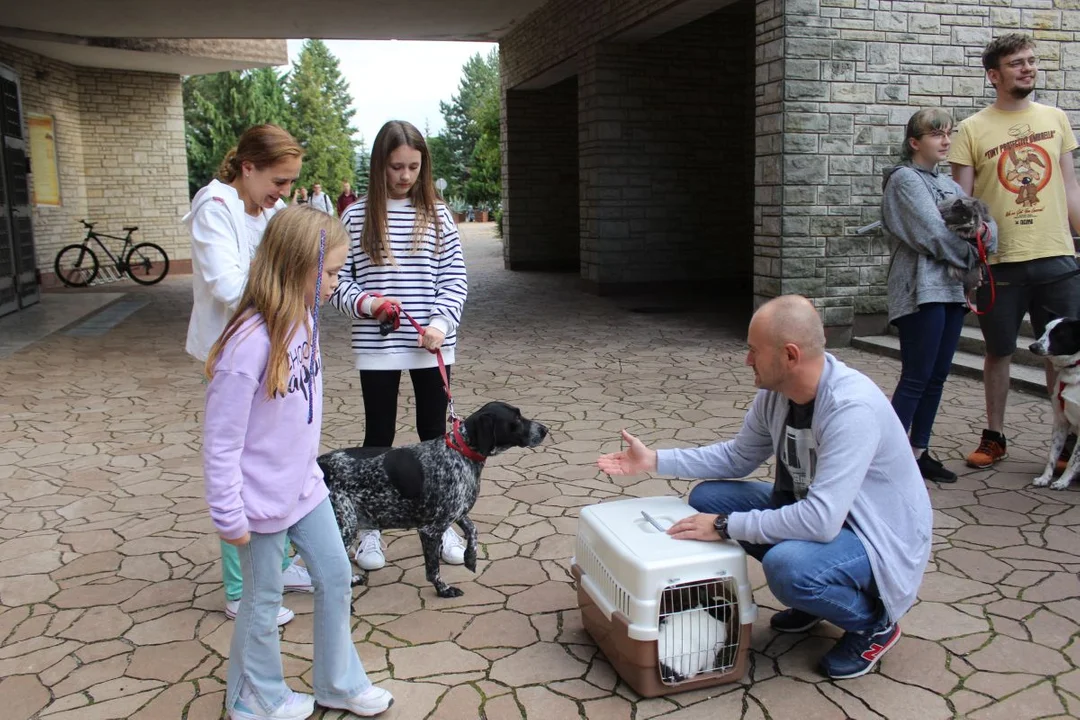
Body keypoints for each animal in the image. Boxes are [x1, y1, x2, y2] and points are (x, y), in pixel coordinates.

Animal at [315, 403, 548, 600]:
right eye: (516, 418)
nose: (545, 429)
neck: (461, 451)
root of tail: (319, 464)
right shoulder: (430, 530)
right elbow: (433, 570)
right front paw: (443, 589)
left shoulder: (457, 512)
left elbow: (473, 530)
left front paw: (470, 558)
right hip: (345, 525)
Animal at [1023, 319, 1080, 490]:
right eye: (1045, 330)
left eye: (1059, 333)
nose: (1032, 346)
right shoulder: (1060, 421)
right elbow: (1052, 455)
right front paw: (1044, 478)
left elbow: (1073, 460)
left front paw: (1062, 481)